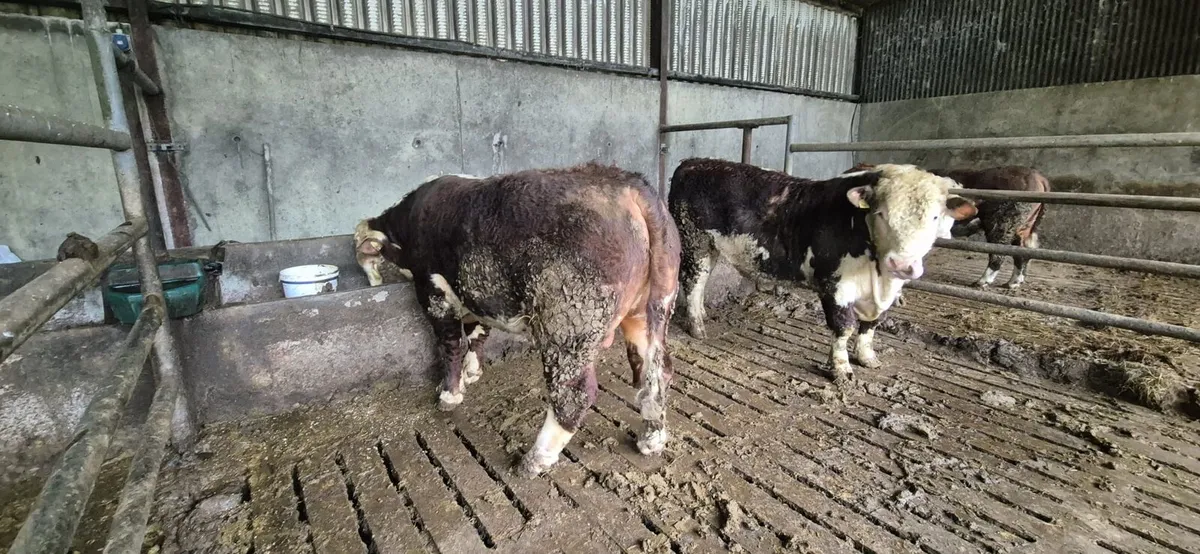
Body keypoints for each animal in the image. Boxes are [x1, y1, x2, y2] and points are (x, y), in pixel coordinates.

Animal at [356, 164, 681, 477]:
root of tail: (626, 183)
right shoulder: (474, 292)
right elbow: (476, 333)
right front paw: (472, 372)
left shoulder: (434, 292)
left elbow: (450, 344)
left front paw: (449, 394)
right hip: (650, 309)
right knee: (657, 370)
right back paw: (651, 438)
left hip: (568, 323)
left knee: (574, 392)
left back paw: (534, 461)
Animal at [669, 158, 976, 387]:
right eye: (881, 213)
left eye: (935, 217)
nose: (901, 264)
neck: (878, 278)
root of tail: (694, 163)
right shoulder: (835, 286)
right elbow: (844, 328)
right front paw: (841, 370)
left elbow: (871, 326)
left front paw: (867, 358)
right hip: (694, 241)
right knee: (693, 281)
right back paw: (697, 326)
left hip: (712, 247)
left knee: (701, 282)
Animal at [850, 163, 1049, 289]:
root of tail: (1038, 176)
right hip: (1023, 227)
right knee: (1022, 252)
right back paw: (1013, 283)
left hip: (1003, 223)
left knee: (999, 253)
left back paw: (982, 282)